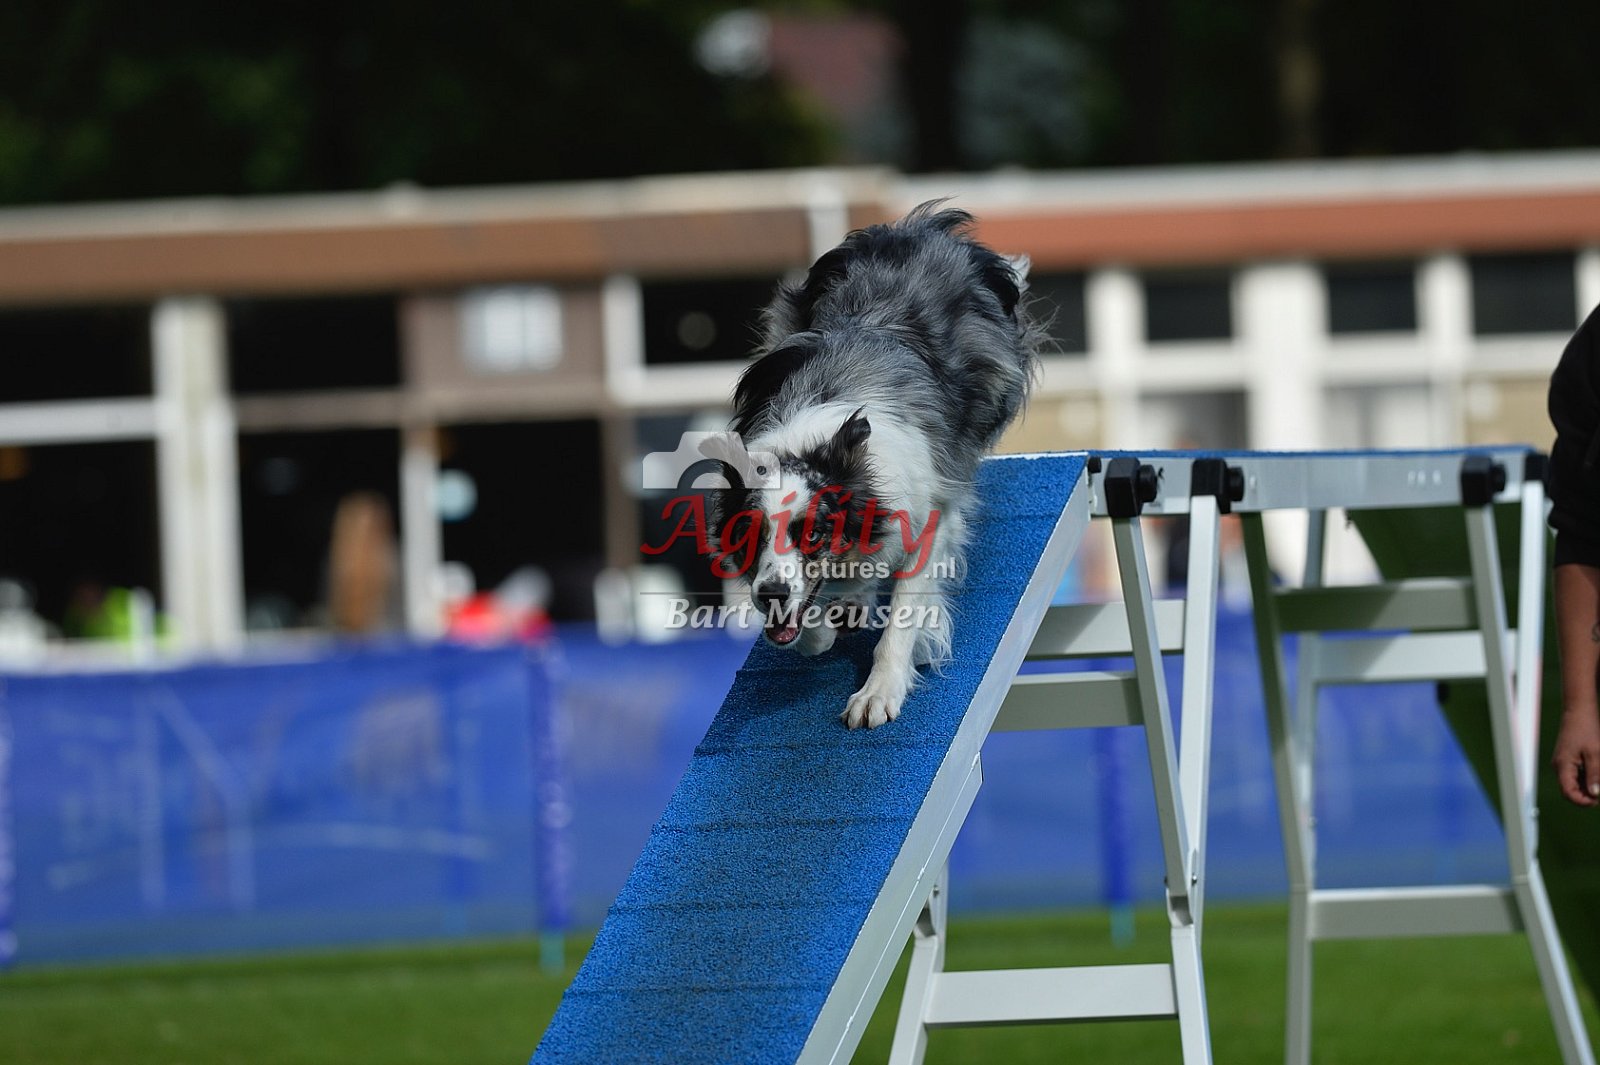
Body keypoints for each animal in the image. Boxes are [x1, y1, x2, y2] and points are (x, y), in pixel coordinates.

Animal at [712, 202, 1040, 729]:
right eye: (751, 533)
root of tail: (915, 228)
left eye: (814, 533)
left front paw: (880, 690)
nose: (770, 595)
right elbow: (806, 629)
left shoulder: (929, 512)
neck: (810, 438)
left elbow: (904, 612)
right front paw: (823, 628)